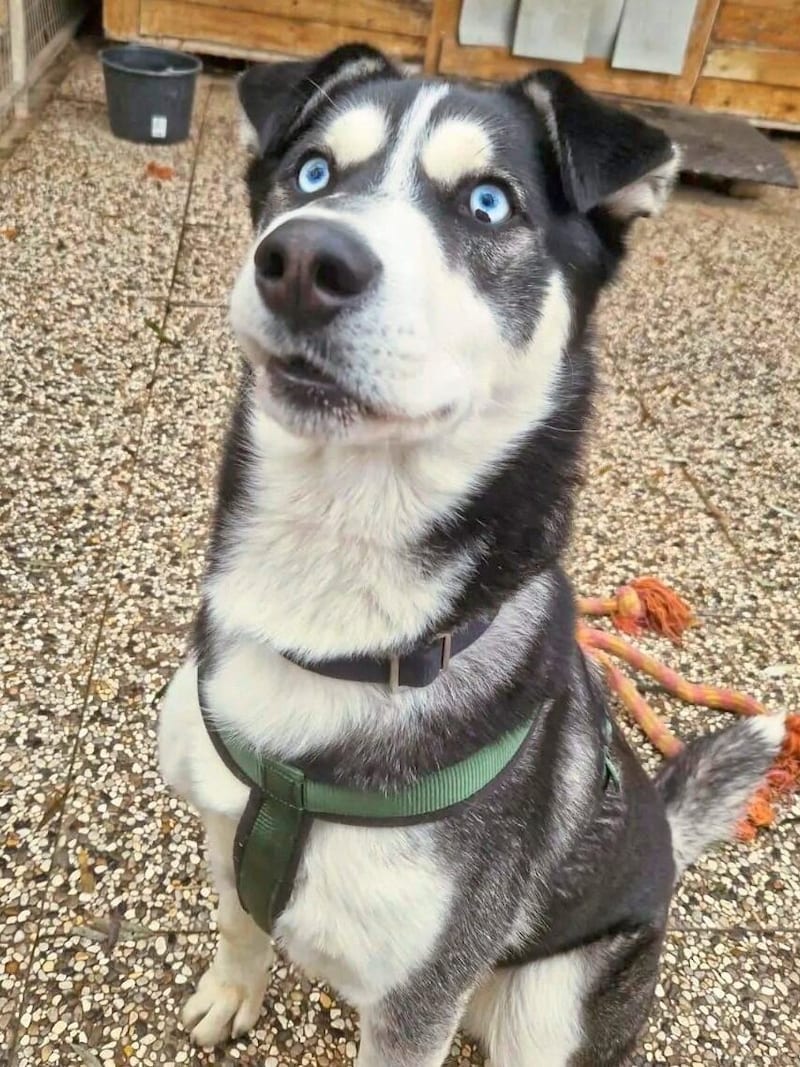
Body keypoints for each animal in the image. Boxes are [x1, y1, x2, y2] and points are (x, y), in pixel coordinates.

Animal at [160, 43, 785, 1067]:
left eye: (488, 203)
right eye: (314, 173)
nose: (304, 261)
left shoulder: (420, 996)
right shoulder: (222, 824)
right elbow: (241, 919)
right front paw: (230, 992)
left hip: (549, 1000)